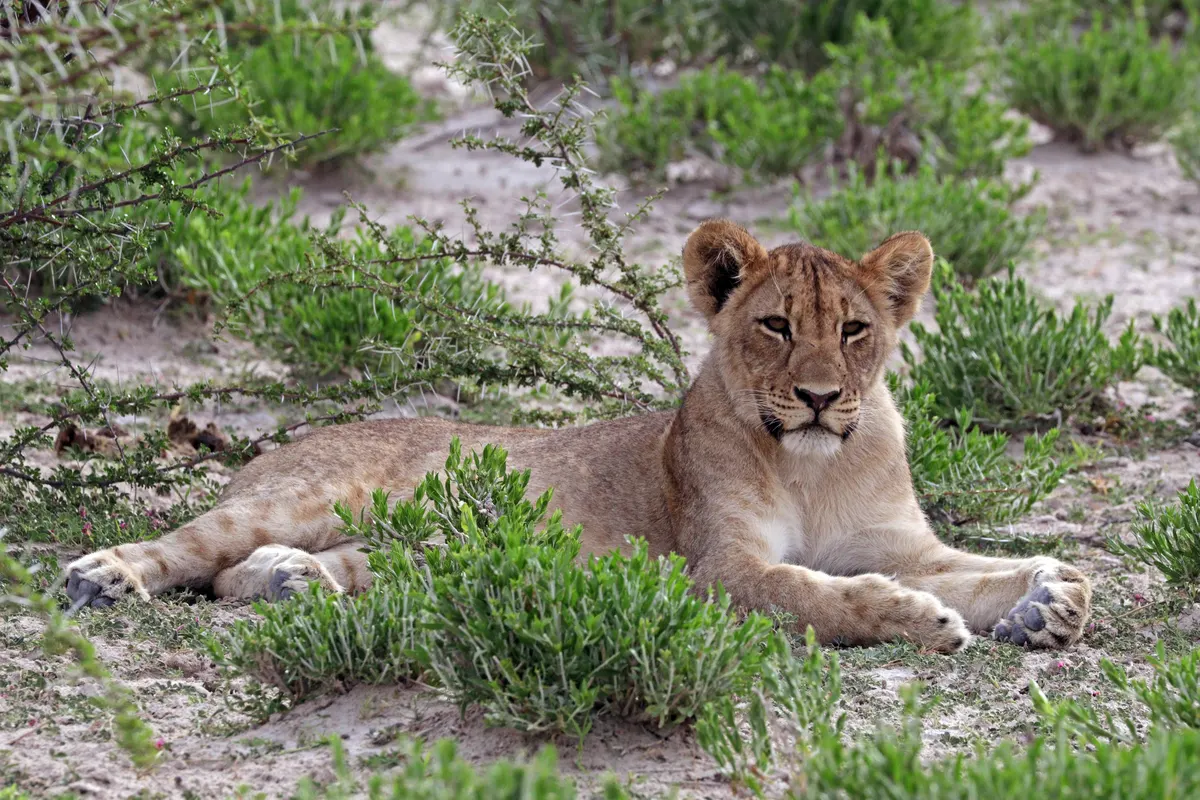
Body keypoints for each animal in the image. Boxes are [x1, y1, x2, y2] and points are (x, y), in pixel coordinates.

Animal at [63, 221, 1091, 651]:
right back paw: (103, 577)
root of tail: (279, 446)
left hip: (393, 552)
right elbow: (816, 593)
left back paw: (291, 581)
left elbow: (978, 570)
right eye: (774, 326)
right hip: (300, 496)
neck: (815, 468)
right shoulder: (719, 570)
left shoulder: (901, 543)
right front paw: (915, 619)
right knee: (191, 552)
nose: (817, 397)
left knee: (254, 573)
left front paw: (1050, 599)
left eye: (852, 329)